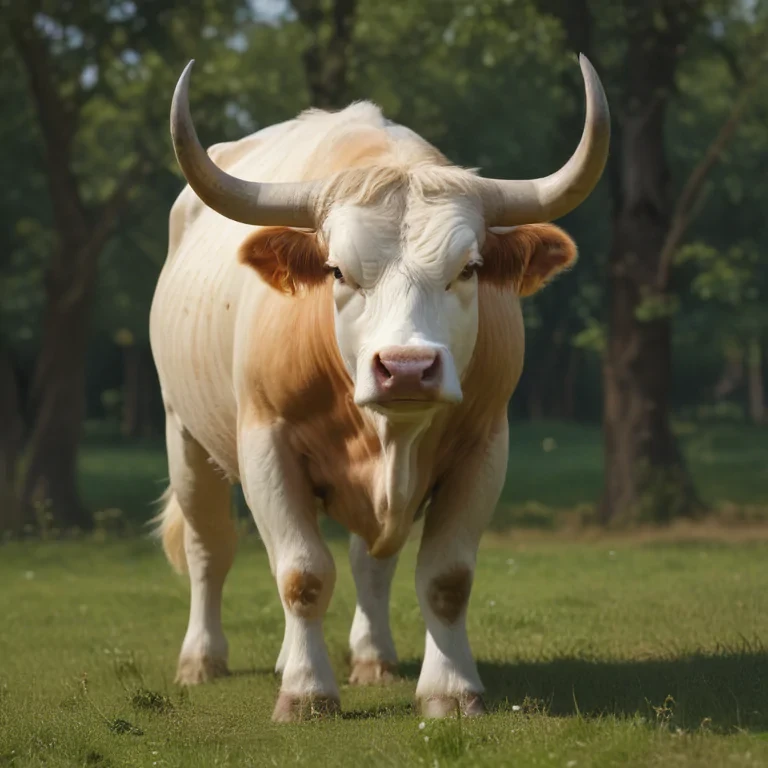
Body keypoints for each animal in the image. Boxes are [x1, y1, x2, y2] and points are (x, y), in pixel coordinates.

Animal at [149, 54, 609, 723]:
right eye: (338, 270)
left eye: (469, 269)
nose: (407, 367)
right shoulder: (267, 443)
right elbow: (301, 575)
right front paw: (306, 692)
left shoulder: (484, 447)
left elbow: (445, 579)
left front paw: (451, 689)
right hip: (184, 435)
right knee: (211, 547)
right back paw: (202, 660)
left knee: (371, 562)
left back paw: (373, 658)